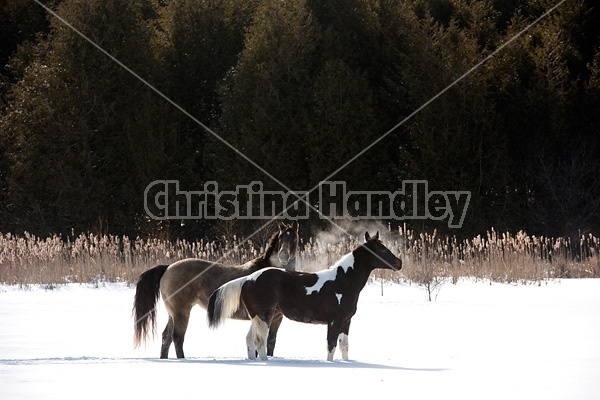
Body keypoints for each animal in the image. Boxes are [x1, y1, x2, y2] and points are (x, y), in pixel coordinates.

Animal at [133, 220, 298, 358]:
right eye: (281, 237)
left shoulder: (276, 319)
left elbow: (271, 342)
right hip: (181, 312)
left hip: (172, 314)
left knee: (166, 337)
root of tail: (168, 268)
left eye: (294, 238)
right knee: (177, 338)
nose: (284, 257)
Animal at [207, 230, 404, 360]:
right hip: (264, 316)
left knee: (250, 339)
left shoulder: (346, 322)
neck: (343, 281)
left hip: (257, 317)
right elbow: (331, 347)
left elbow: (344, 347)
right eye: (382, 249)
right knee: (260, 341)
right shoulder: (335, 321)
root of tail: (248, 278)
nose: (399, 262)